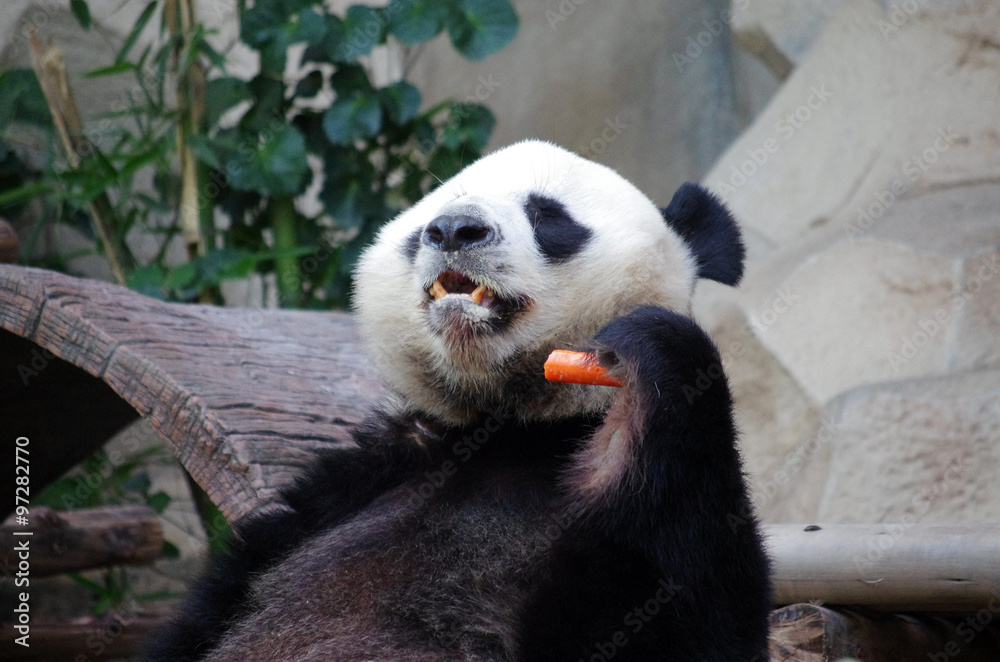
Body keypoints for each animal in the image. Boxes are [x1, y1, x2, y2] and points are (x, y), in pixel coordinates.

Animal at [146, 140, 771, 662]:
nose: (452, 230)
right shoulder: (362, 479)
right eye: (435, 211)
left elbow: (689, 614)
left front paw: (649, 351)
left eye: (548, 215)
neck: (513, 427)